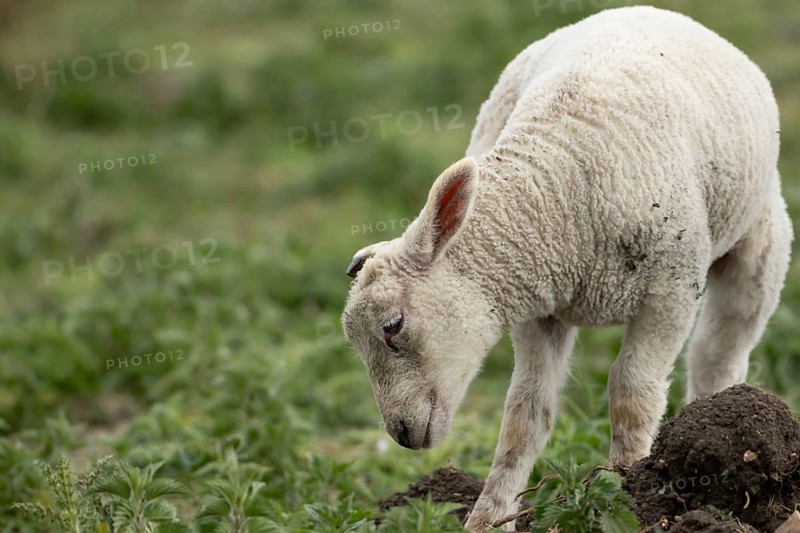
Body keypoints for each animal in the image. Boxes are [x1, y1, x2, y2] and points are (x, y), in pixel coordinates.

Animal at [341, 6, 792, 532]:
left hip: (762, 236)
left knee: (718, 353)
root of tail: (649, 8)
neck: (554, 191)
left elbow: (631, 394)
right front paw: (490, 516)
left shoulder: (672, 287)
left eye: (393, 326)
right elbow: (524, 415)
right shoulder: (538, 307)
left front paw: (626, 489)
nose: (401, 432)